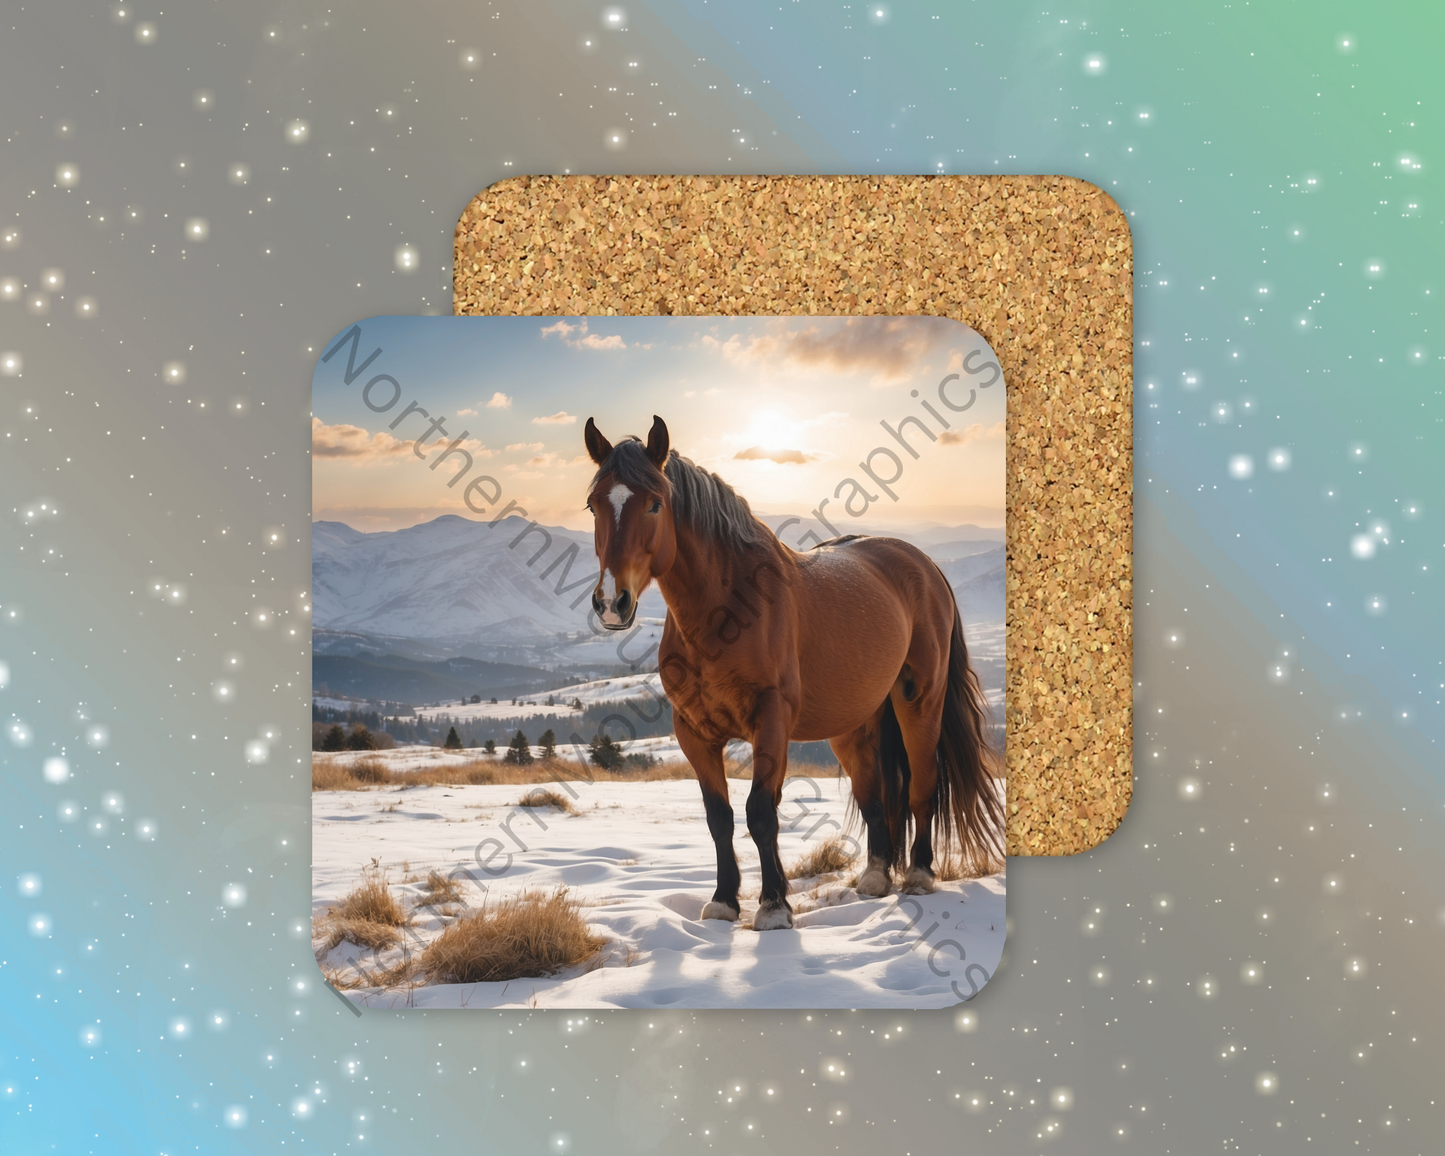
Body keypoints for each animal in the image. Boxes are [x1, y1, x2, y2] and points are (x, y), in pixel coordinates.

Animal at [583, 415, 1003, 931]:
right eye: (593, 504)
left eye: (654, 503)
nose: (611, 603)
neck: (728, 608)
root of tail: (923, 565)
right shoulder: (693, 731)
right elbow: (719, 817)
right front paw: (723, 901)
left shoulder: (771, 720)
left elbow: (760, 812)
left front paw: (773, 907)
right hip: (853, 725)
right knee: (875, 796)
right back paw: (875, 878)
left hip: (920, 702)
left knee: (923, 783)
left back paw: (920, 874)